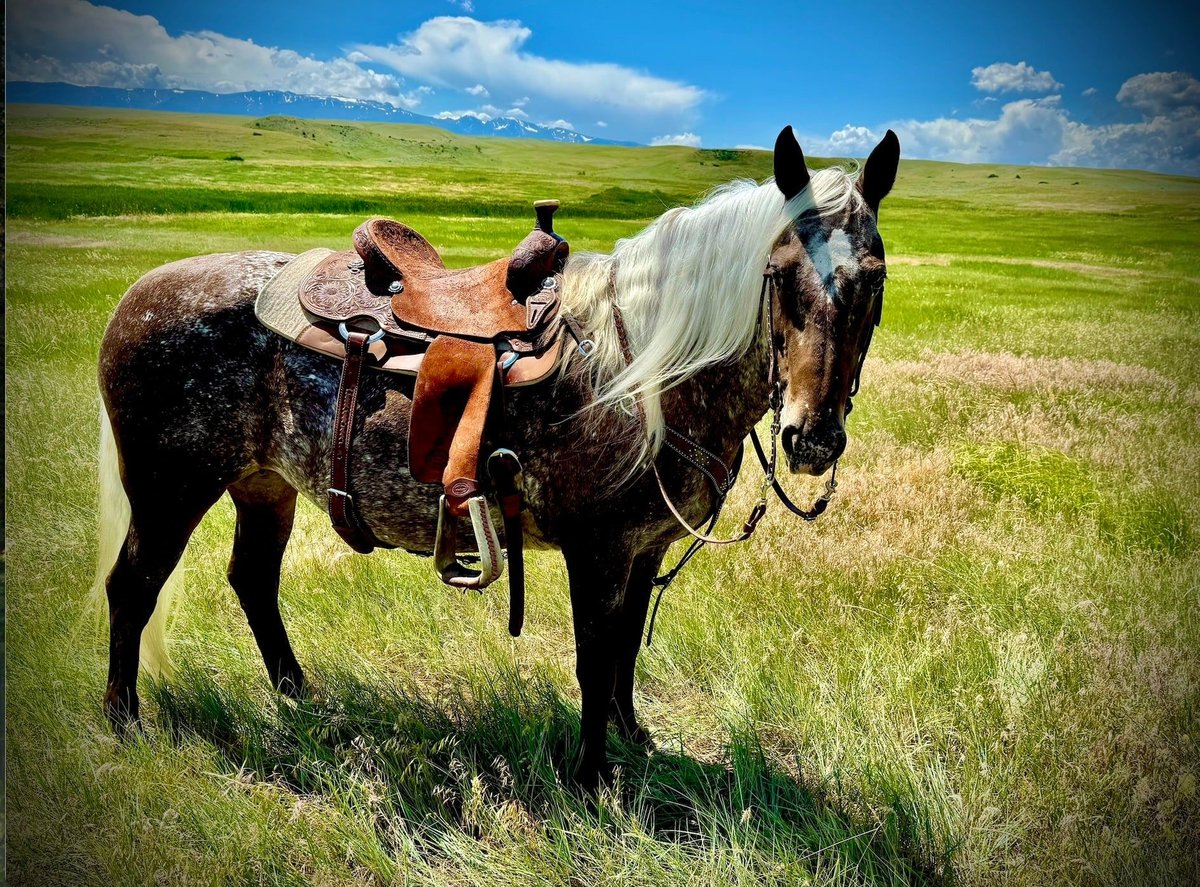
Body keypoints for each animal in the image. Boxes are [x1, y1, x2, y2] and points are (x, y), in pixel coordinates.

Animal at [94, 126, 899, 789]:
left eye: (875, 279)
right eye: (781, 273)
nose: (811, 436)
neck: (642, 372)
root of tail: (139, 293)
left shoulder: (644, 549)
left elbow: (627, 650)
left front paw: (635, 740)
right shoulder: (597, 549)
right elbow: (594, 657)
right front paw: (591, 777)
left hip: (264, 484)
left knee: (253, 580)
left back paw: (300, 697)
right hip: (170, 488)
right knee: (133, 585)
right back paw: (123, 721)